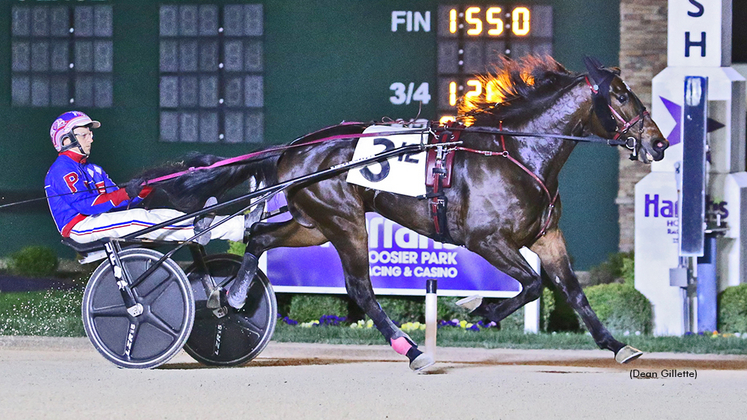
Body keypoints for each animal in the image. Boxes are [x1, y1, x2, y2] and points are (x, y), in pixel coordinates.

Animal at [145, 56, 668, 370]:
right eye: (621, 95)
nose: (659, 143)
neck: (519, 152)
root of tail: (294, 149)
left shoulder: (546, 236)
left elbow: (573, 291)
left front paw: (618, 346)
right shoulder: (486, 240)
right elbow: (533, 285)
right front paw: (477, 308)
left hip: (314, 223)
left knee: (259, 238)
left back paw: (230, 296)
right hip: (346, 222)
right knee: (360, 288)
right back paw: (412, 349)